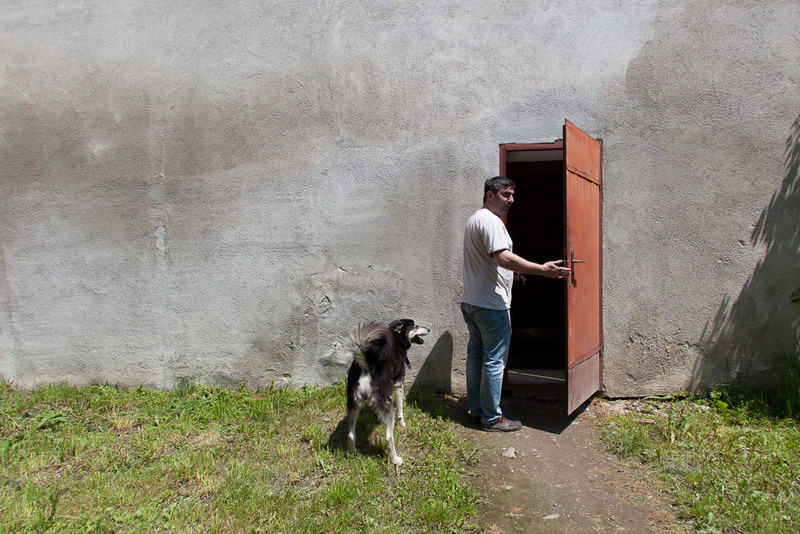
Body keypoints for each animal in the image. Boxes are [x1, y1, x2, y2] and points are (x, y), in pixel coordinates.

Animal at [345, 318, 429, 465]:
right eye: (415, 326)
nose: (429, 329)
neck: (397, 339)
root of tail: (368, 364)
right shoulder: (399, 384)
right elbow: (400, 409)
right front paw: (402, 423)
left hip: (354, 402)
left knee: (350, 434)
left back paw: (352, 452)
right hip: (386, 402)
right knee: (389, 437)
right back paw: (395, 460)